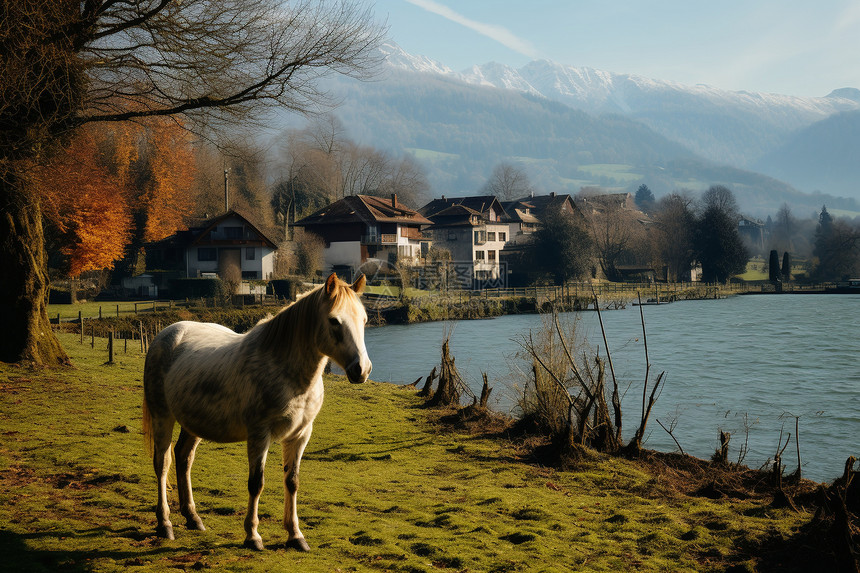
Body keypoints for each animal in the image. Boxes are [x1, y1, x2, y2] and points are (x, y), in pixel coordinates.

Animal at [142, 272, 370, 548]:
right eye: (334, 321)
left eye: (364, 320)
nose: (362, 369)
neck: (286, 371)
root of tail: (166, 333)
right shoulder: (259, 435)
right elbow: (256, 483)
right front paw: (252, 535)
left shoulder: (300, 435)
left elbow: (292, 482)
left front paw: (296, 535)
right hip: (162, 416)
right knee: (162, 463)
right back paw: (165, 524)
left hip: (192, 422)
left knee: (184, 458)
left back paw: (193, 518)